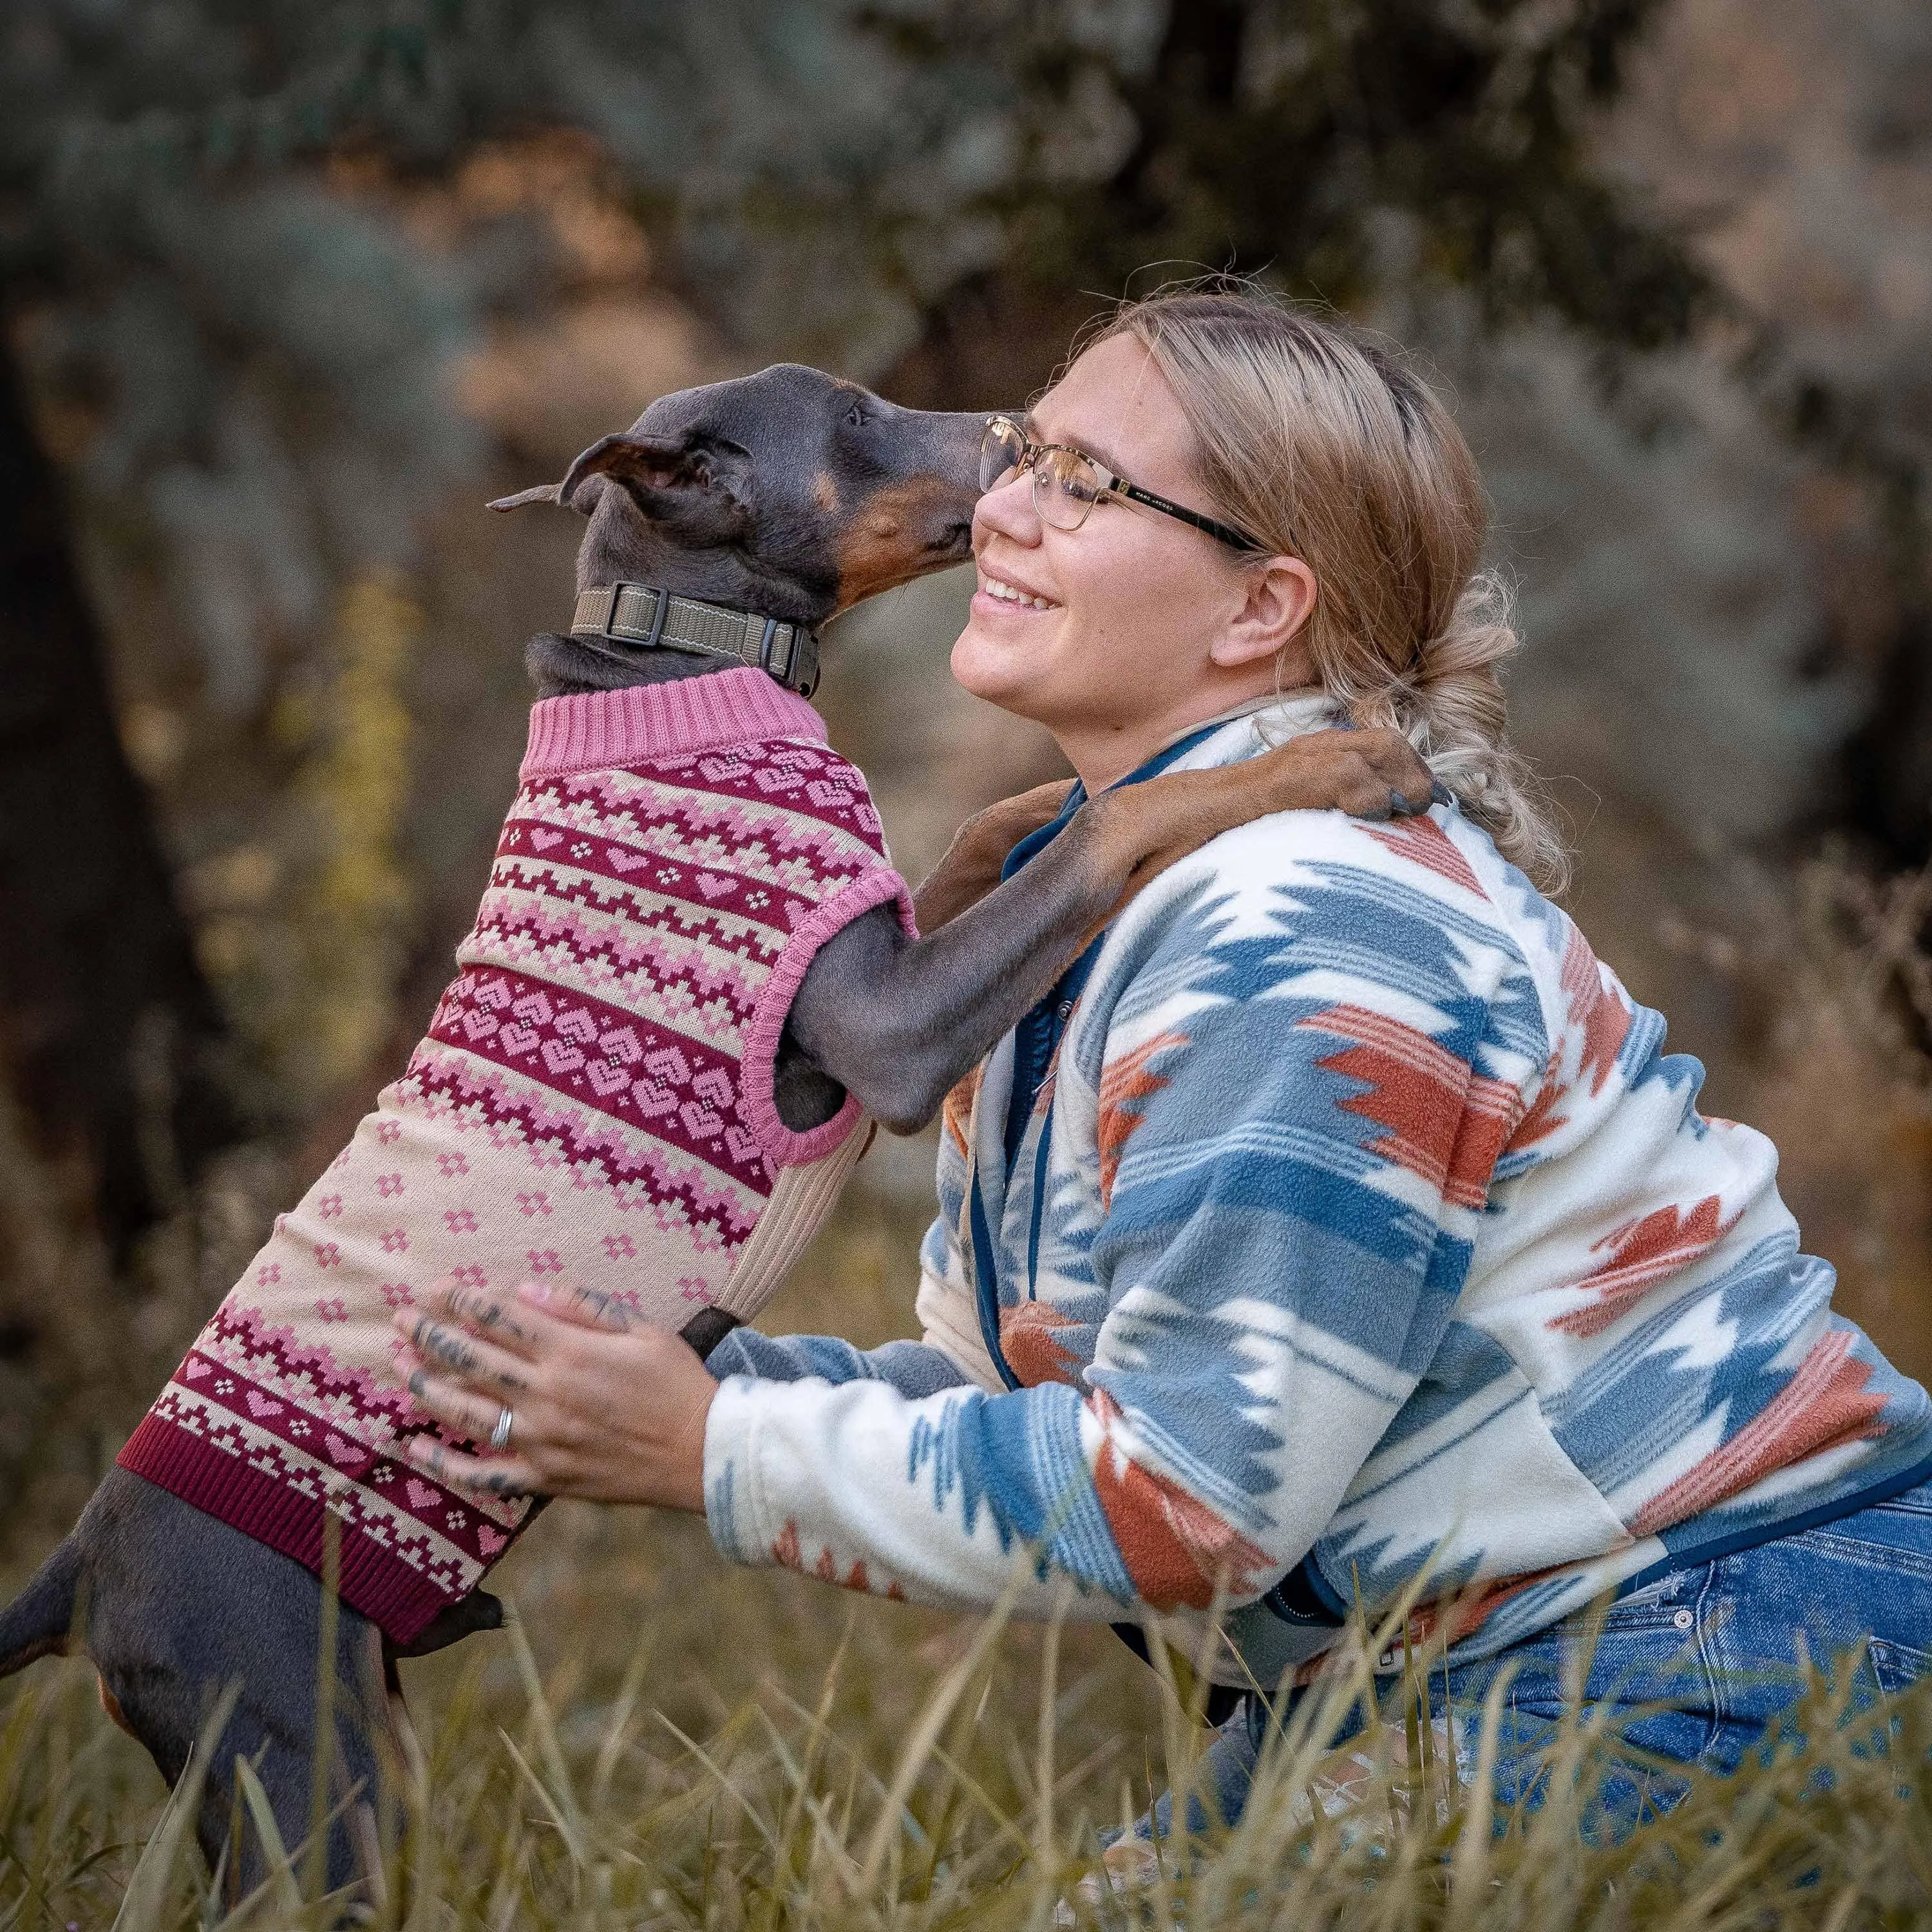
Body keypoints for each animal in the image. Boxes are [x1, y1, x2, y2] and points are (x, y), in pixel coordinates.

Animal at [0, 363, 1422, 1901]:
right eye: (856, 418)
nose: (1012, 431)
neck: (684, 655)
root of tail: (81, 1569)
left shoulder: (894, 936)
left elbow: (1010, 824)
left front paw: (1092, 778)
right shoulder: (892, 1030)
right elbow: (1121, 826)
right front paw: (1346, 756)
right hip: (302, 1765)